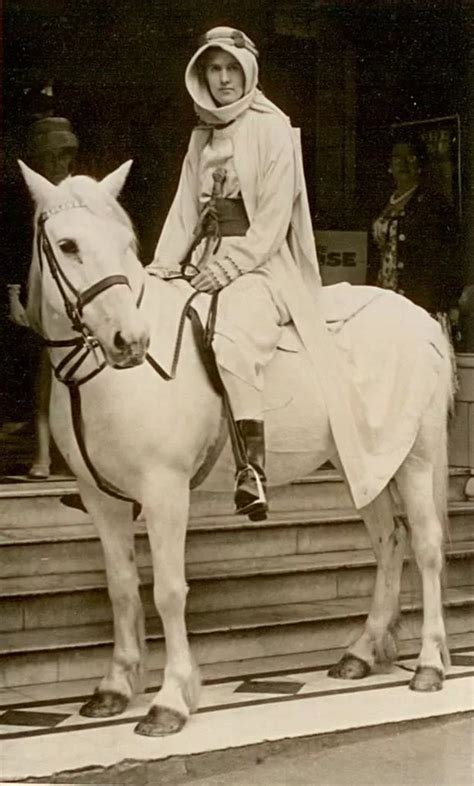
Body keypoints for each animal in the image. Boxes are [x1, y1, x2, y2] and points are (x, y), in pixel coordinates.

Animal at [20, 161, 454, 736]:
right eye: (67, 245)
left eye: (125, 242)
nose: (130, 341)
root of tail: (420, 317)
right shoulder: (101, 500)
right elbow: (122, 588)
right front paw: (115, 687)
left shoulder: (166, 492)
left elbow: (168, 591)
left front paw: (171, 700)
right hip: (362, 462)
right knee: (389, 541)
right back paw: (360, 653)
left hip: (415, 459)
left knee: (425, 546)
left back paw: (428, 665)